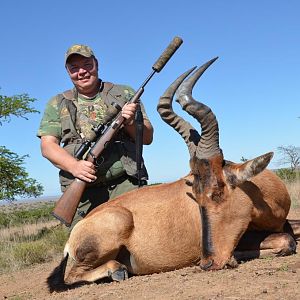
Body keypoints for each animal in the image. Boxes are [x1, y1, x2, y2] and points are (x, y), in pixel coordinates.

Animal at [47, 57, 300, 292]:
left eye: (217, 190)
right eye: (196, 196)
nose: (207, 263)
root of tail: (72, 238)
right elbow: (287, 241)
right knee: (71, 276)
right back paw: (116, 270)